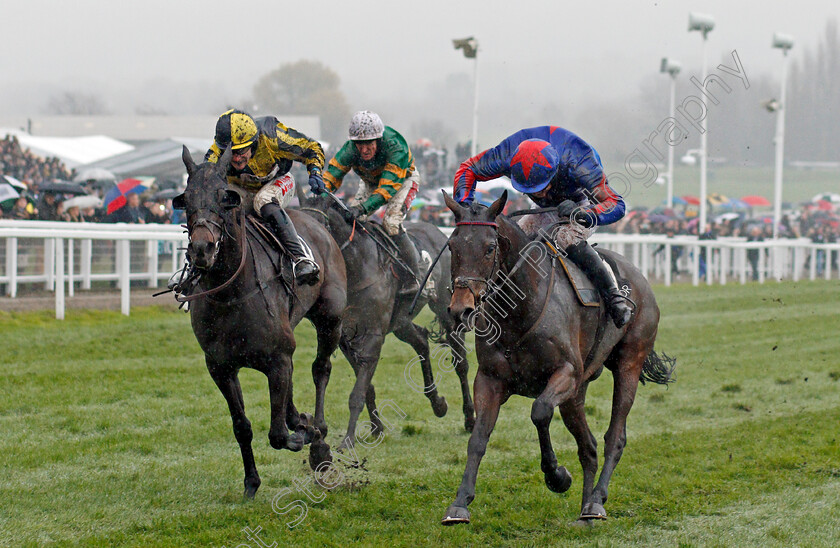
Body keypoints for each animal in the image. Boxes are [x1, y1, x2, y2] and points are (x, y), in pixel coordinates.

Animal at [176, 148, 346, 498]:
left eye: (223, 197)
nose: (201, 249)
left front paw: (305, 433)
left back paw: (319, 437)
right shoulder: (220, 367)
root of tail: (317, 221)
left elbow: (278, 434)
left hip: (330, 318)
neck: (230, 294)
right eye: (186, 199)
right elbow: (242, 426)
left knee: (321, 369)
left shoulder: (277, 360)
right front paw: (251, 482)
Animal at [300, 195, 472, 448]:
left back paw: (470, 418)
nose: (308, 270)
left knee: (460, 362)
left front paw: (348, 440)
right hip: (401, 321)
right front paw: (375, 427)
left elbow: (358, 392)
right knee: (421, 340)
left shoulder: (374, 334)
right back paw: (437, 402)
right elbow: (366, 386)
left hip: (446, 309)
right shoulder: (344, 336)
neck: (356, 267)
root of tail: (441, 233)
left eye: (319, 229)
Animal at [440, 191, 676, 524]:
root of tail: (641, 279)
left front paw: (557, 476)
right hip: (576, 395)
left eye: (489, 248)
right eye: (452, 245)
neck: (519, 312)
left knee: (614, 437)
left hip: (628, 362)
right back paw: (585, 509)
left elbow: (539, 412)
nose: (461, 308)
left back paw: (596, 500)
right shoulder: (489, 379)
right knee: (588, 446)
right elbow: (478, 438)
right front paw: (460, 503)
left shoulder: (566, 373)